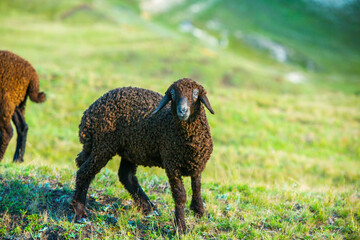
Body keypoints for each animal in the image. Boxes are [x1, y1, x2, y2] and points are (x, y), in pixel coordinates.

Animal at [71, 79, 215, 232]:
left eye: (195, 94)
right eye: (172, 94)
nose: (182, 111)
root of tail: (89, 113)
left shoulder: (197, 163)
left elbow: (197, 188)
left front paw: (199, 212)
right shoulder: (172, 164)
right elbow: (180, 195)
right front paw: (181, 227)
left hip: (130, 149)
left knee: (126, 176)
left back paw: (149, 208)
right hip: (103, 146)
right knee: (84, 172)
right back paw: (80, 212)